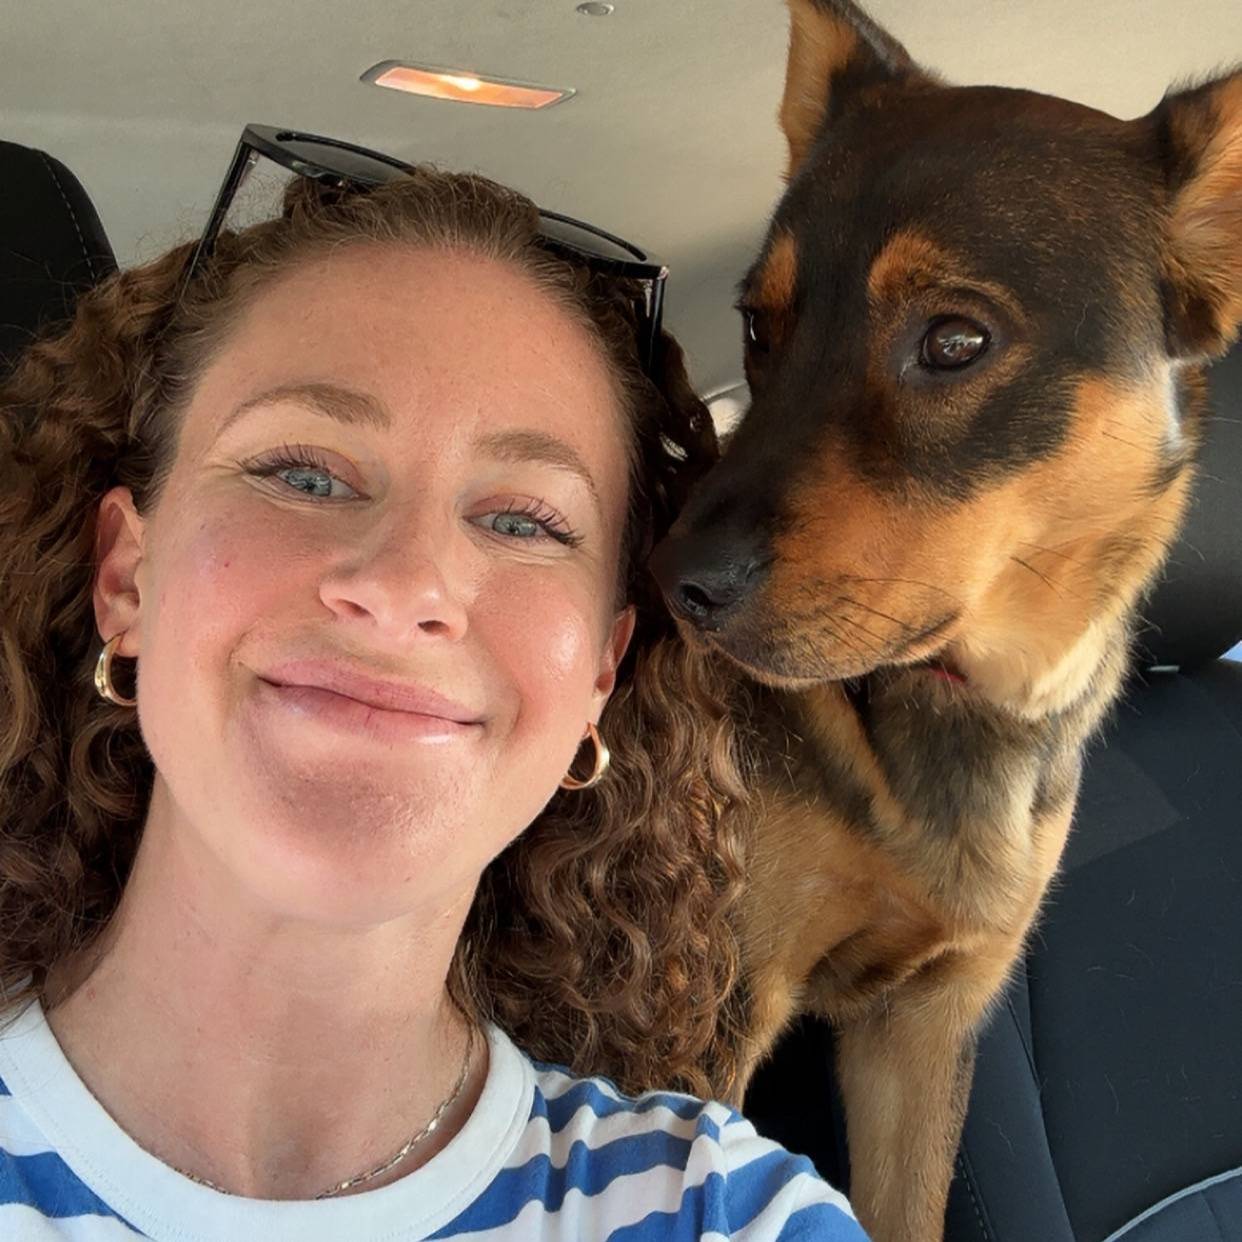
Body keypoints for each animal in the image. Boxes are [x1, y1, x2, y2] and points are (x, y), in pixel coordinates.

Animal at [650, 4, 1242, 1239]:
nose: (670, 580)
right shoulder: (706, 1018)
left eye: (955, 340)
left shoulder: (926, 1029)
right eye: (759, 330)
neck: (962, 703)